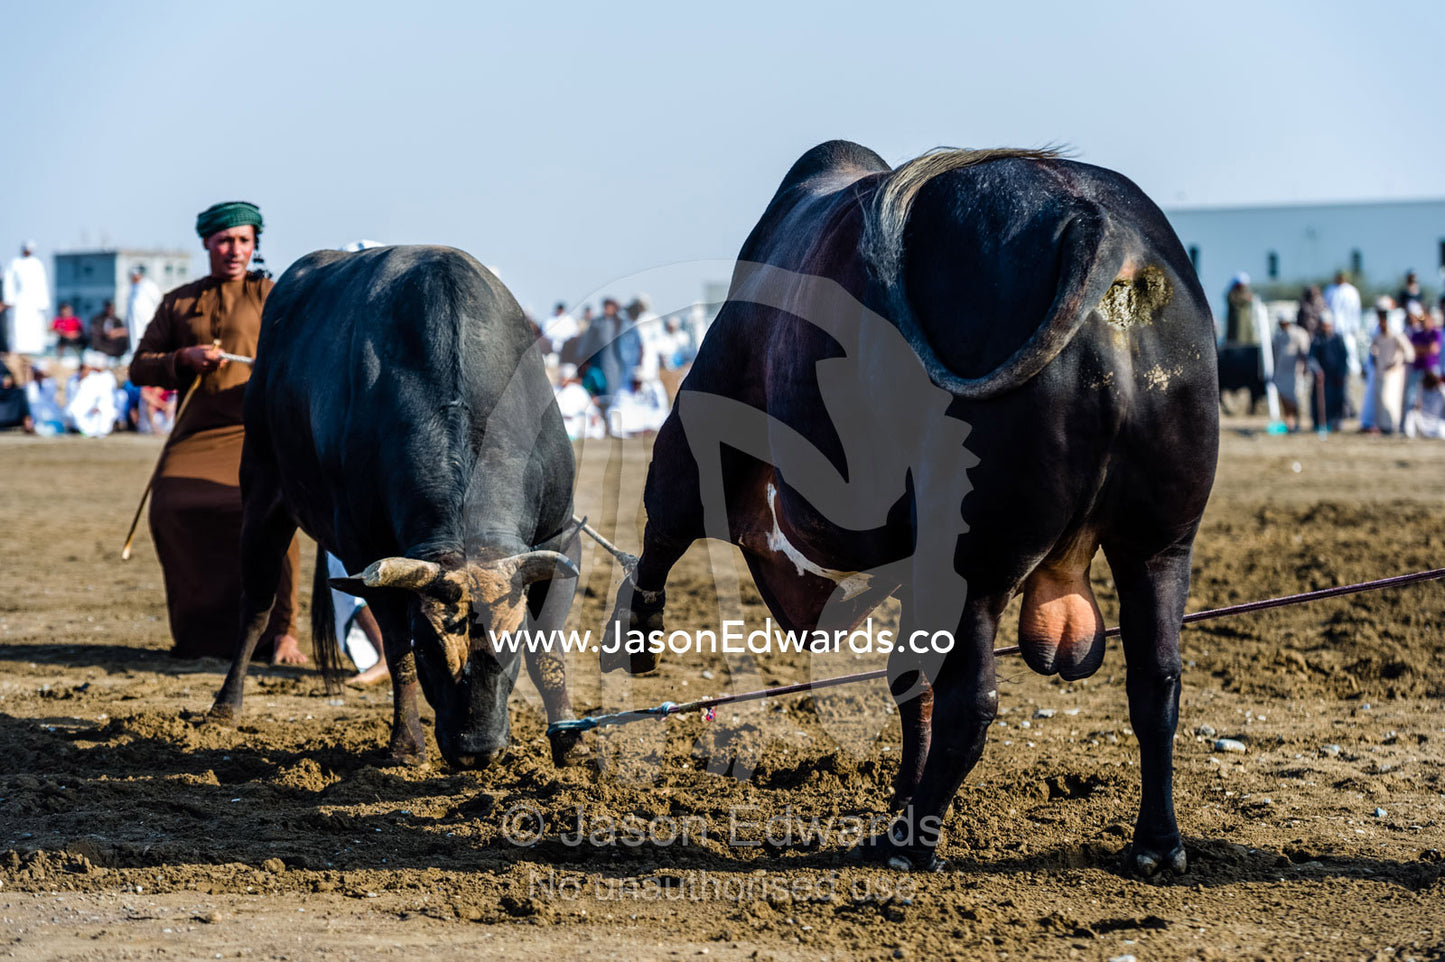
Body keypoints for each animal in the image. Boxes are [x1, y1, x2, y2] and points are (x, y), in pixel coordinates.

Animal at [207, 245, 584, 770]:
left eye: (509, 649)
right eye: (428, 651)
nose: (475, 749)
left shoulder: (561, 536)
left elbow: (548, 654)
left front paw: (572, 747)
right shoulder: (366, 552)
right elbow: (395, 648)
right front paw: (406, 744)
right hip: (262, 497)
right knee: (256, 607)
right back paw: (225, 706)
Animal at [602, 141, 1219, 875]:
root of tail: (1096, 227)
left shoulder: (707, 418)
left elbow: (664, 527)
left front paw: (637, 636)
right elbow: (907, 678)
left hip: (971, 564)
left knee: (971, 705)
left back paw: (911, 842)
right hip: (1158, 545)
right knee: (1155, 684)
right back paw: (1155, 843)